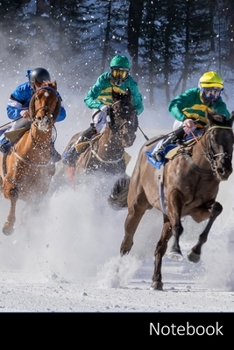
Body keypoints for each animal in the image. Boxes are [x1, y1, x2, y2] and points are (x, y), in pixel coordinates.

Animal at [0, 81, 61, 235]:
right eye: (37, 97)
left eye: (55, 99)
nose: (43, 119)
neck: (34, 155)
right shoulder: (9, 182)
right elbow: (13, 193)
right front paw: (8, 225)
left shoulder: (39, 191)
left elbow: (31, 211)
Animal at [108, 111, 234, 290]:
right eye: (213, 137)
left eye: (232, 138)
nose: (224, 169)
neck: (198, 169)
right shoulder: (174, 198)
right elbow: (178, 227)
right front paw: (176, 251)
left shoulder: (198, 209)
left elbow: (217, 208)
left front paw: (194, 252)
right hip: (137, 206)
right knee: (127, 241)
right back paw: (116, 275)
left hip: (165, 214)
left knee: (160, 246)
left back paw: (157, 280)